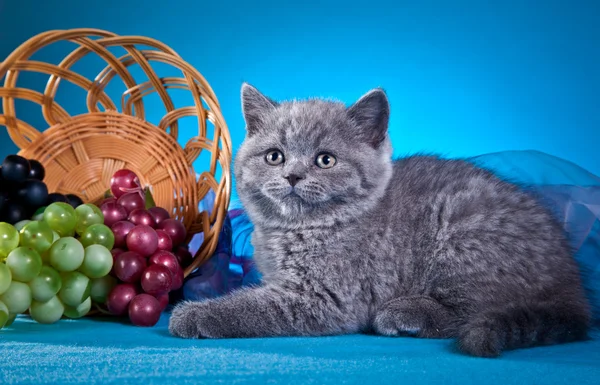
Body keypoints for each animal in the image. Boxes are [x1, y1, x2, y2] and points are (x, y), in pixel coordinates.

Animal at [169, 83, 592, 356]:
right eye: (275, 156)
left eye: (325, 160)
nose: (292, 175)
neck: (299, 230)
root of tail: (570, 282)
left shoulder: (326, 297)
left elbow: (256, 306)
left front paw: (196, 315)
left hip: (463, 232)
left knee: (475, 311)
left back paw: (403, 314)